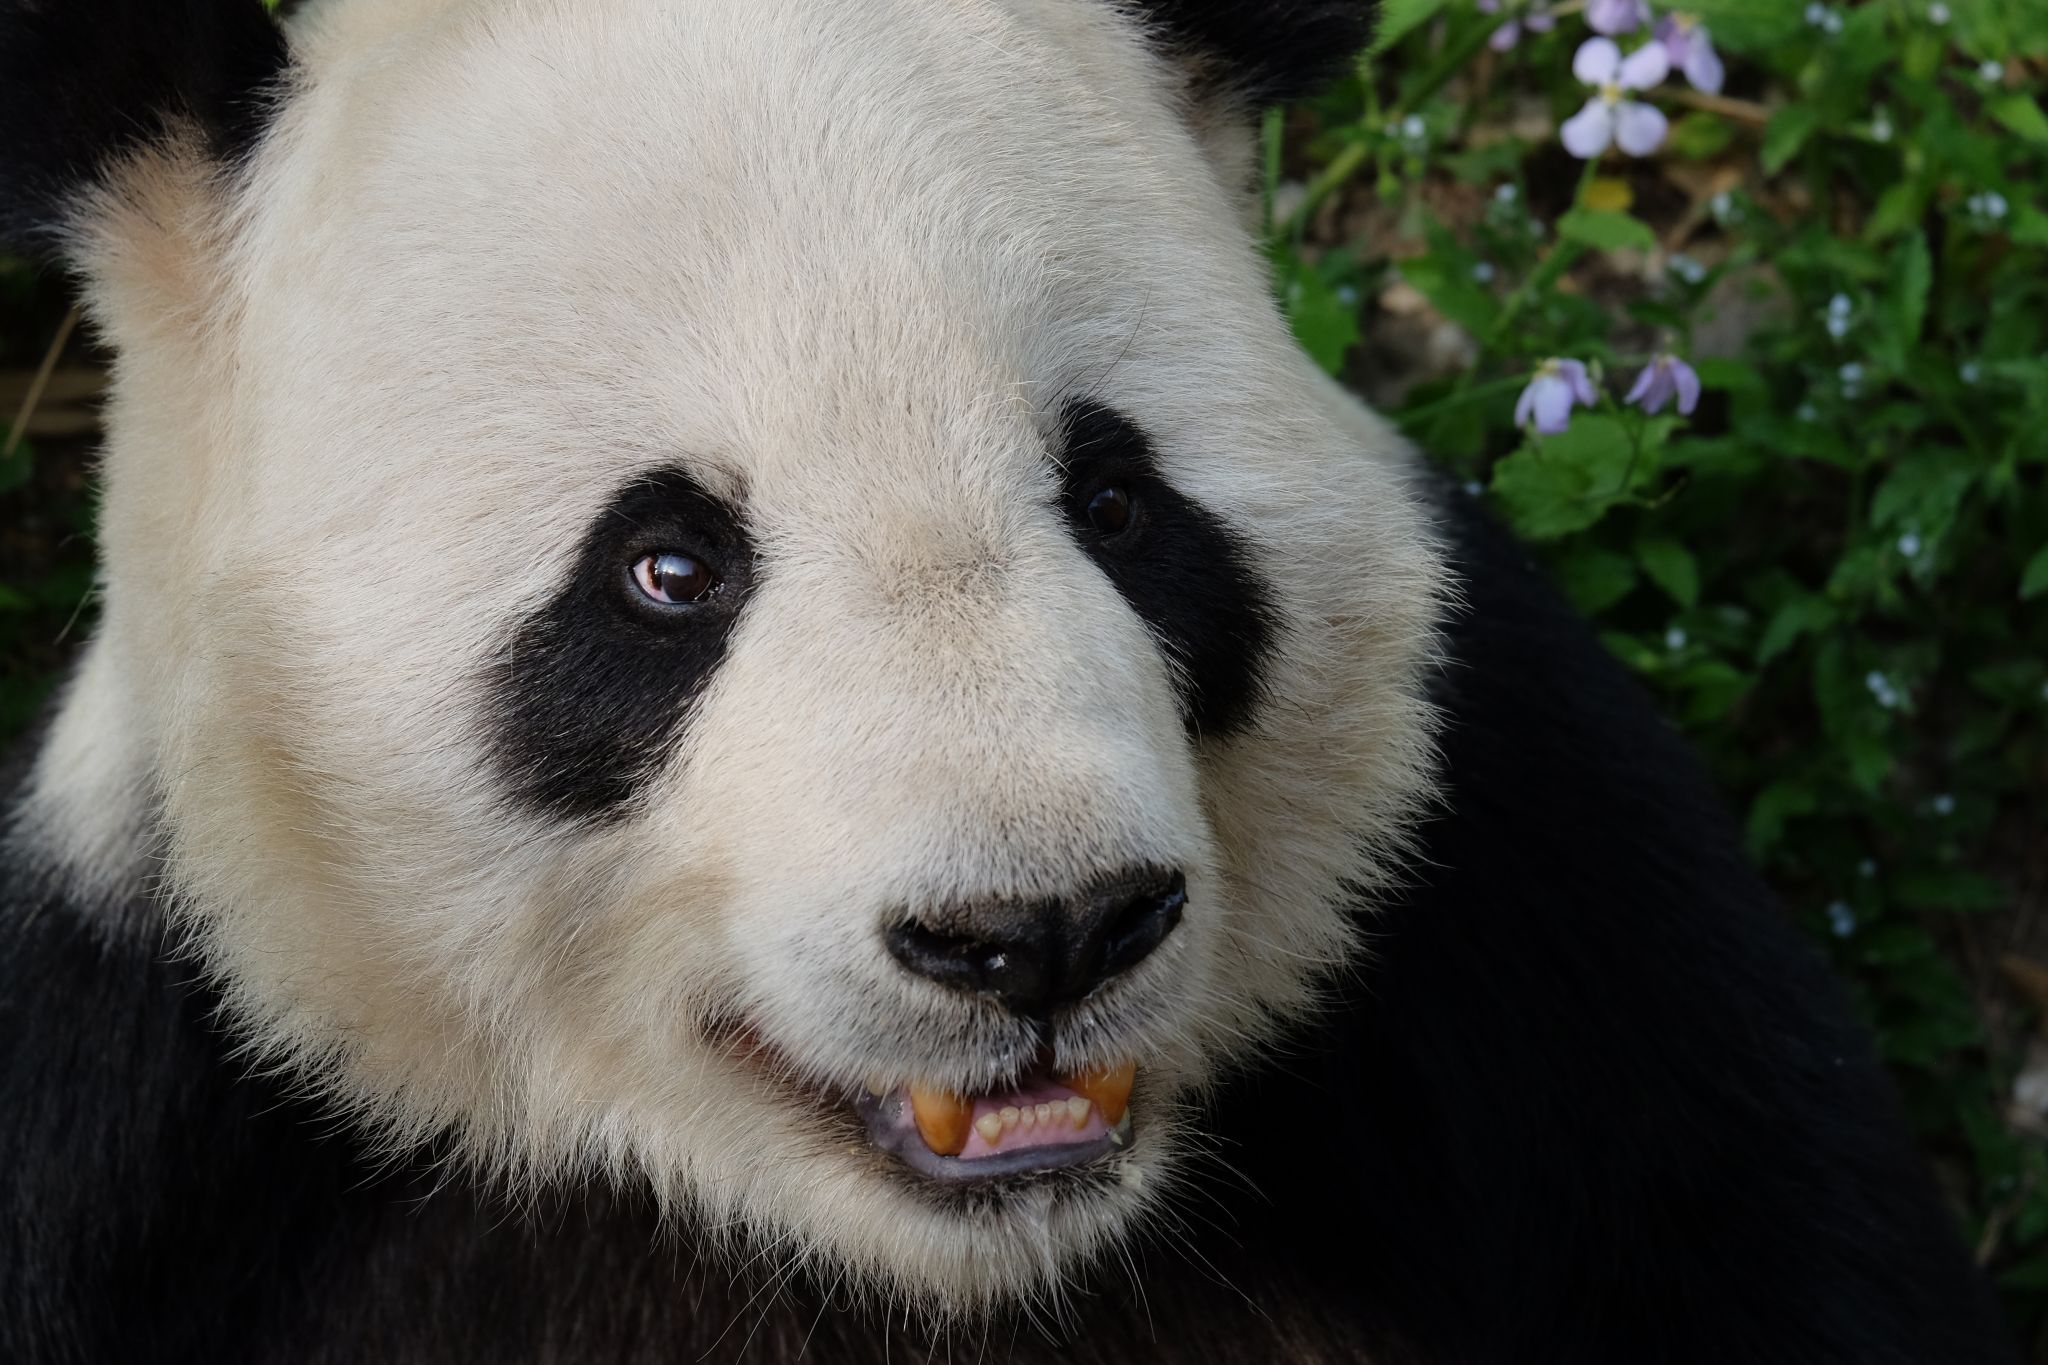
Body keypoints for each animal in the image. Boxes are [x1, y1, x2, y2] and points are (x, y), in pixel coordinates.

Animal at [0, 0, 2021, 1361]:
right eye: (665, 570)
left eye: (1115, 498)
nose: (1040, 933)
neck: (936, 1264)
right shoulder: (159, 1124)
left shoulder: (1531, 936)